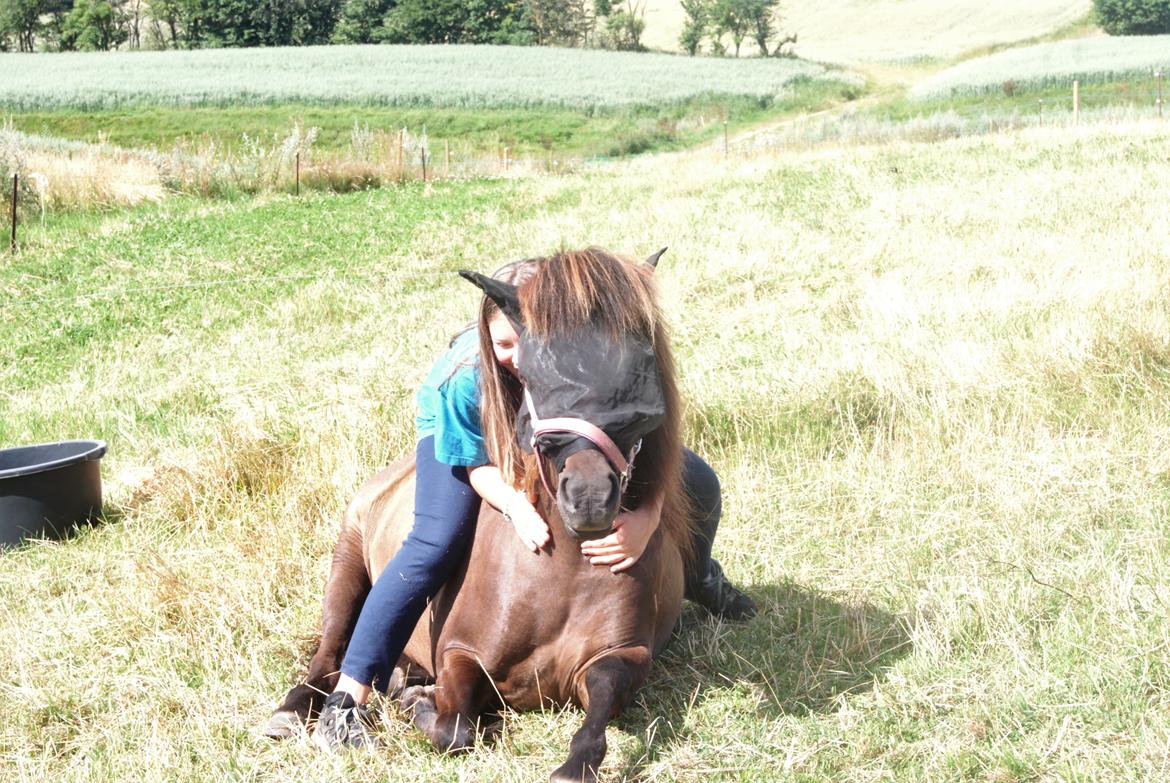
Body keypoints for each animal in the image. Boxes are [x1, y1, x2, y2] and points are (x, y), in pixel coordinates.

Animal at [269, 250, 687, 781]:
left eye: (642, 368)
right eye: (532, 375)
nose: (590, 496)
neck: (557, 580)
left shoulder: (620, 655)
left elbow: (599, 711)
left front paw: (575, 760)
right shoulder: (459, 652)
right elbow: (454, 730)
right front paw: (418, 704)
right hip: (346, 565)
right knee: (332, 646)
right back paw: (305, 708)